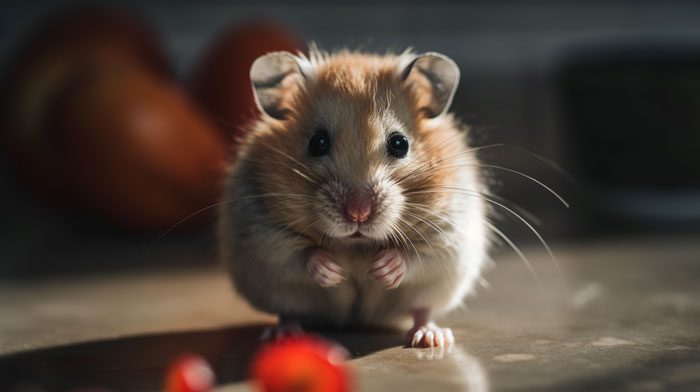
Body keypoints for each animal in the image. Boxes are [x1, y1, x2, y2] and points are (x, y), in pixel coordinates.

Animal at [219, 47, 486, 348]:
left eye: (400, 144)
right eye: (318, 142)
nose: (359, 213)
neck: (357, 246)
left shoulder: (449, 234)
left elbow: (417, 255)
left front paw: (381, 269)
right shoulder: (262, 236)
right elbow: (299, 253)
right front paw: (334, 271)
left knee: (422, 310)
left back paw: (431, 337)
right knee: (288, 312)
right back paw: (283, 335)